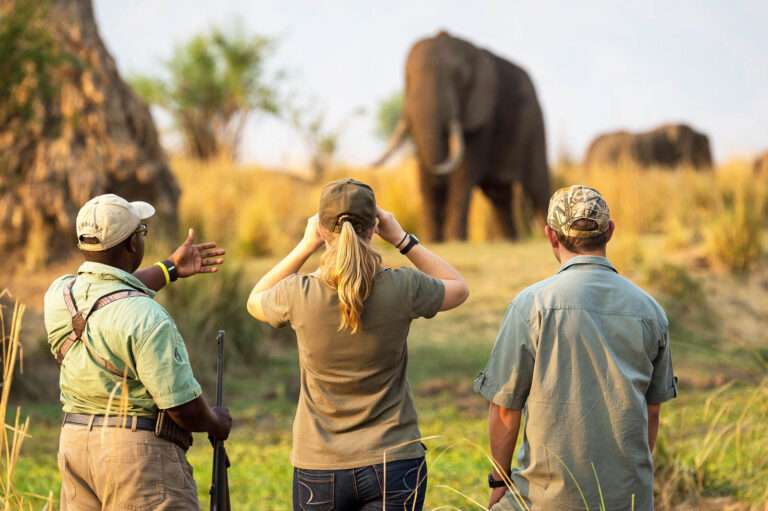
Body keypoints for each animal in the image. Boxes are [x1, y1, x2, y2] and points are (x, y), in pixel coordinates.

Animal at [374, 31, 548, 243]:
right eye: (407, 78)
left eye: (459, 78)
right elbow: (424, 170)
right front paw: (434, 241)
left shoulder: (481, 116)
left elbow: (463, 173)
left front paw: (455, 241)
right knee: (499, 195)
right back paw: (510, 242)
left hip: (535, 122)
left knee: (538, 188)